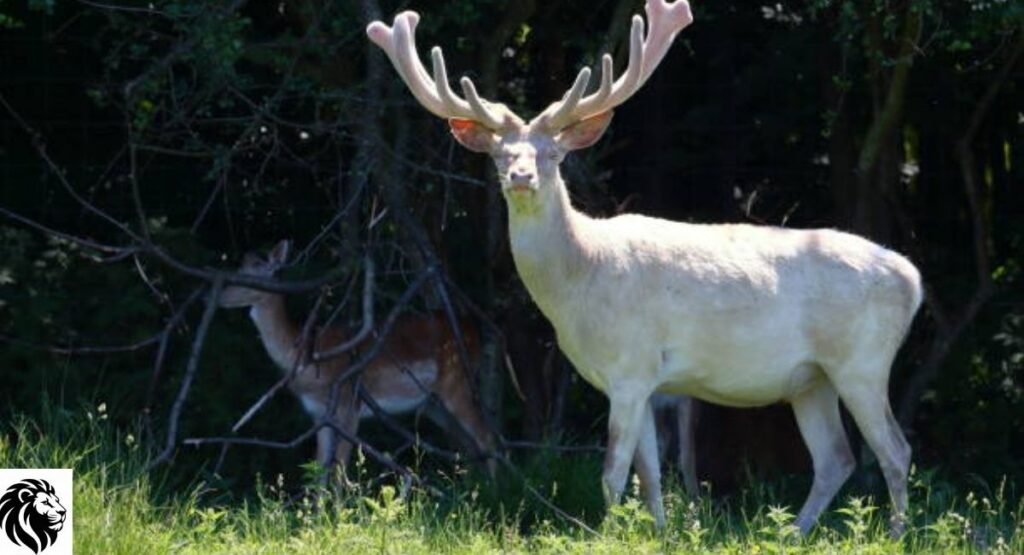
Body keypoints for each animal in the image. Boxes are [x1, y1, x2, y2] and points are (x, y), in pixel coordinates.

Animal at [219, 240, 498, 478]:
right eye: (240, 268)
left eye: (255, 275)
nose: (220, 295)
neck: (308, 358)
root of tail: (474, 330)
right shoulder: (319, 415)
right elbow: (320, 469)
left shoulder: (349, 404)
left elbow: (339, 470)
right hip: (433, 403)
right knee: (468, 445)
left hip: (457, 382)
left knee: (488, 439)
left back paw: (496, 492)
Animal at [367, 0, 921, 534]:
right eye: (501, 155)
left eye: (553, 154)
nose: (521, 176)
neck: (579, 282)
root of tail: (912, 281)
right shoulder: (646, 380)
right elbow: (650, 475)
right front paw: (658, 532)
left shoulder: (630, 366)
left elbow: (613, 473)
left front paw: (608, 533)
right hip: (810, 378)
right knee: (835, 458)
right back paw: (792, 534)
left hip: (863, 360)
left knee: (895, 450)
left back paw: (896, 534)